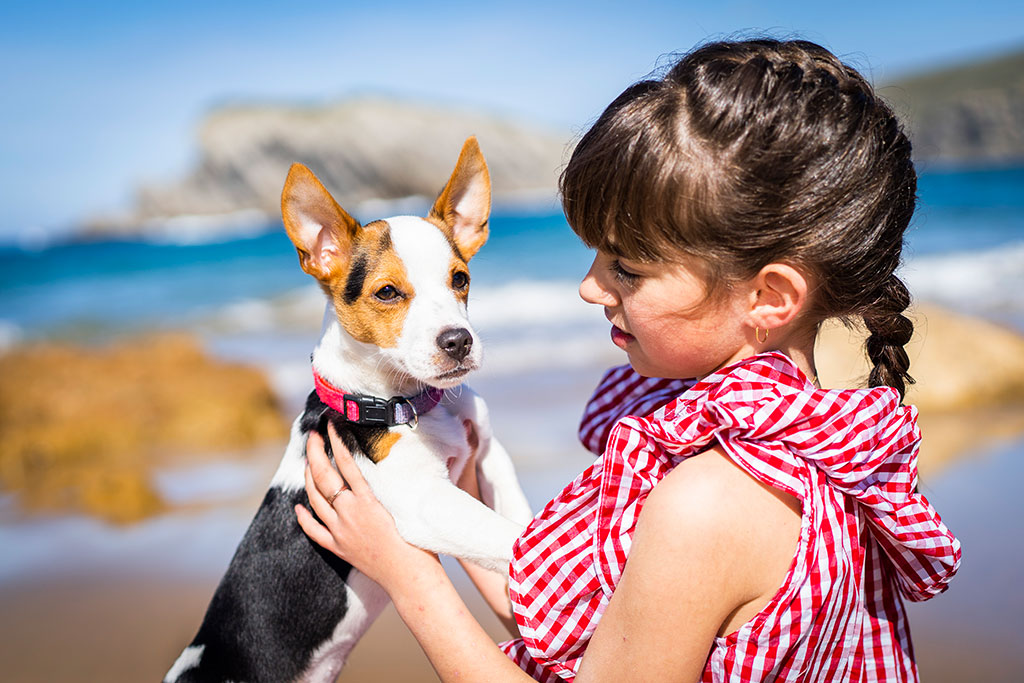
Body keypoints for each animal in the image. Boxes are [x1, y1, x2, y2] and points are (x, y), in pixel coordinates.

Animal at [163, 137, 532, 683]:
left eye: (460, 279)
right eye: (387, 292)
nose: (459, 341)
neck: (409, 402)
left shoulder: (489, 455)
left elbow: (523, 522)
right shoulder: (424, 502)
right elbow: (506, 538)